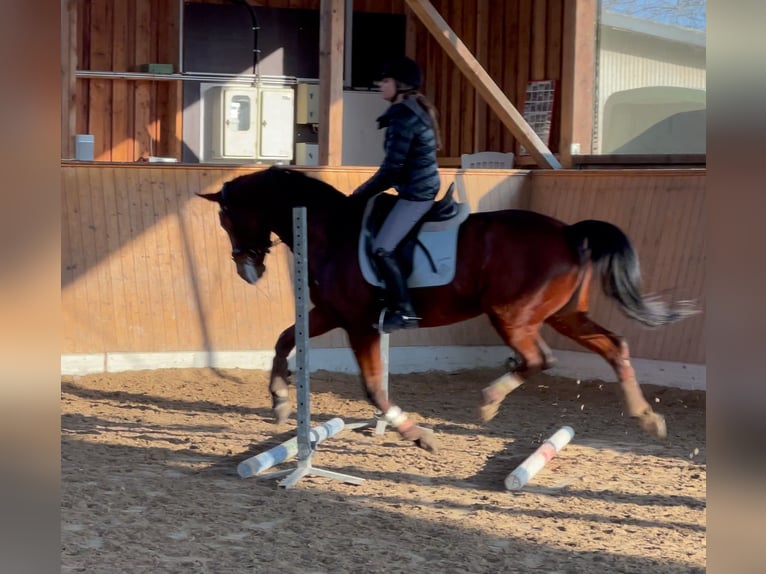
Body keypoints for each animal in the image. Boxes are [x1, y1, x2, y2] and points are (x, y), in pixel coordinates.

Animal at [201, 165, 700, 454]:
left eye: (226, 219)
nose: (247, 270)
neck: (330, 229)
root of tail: (569, 232)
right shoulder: (331, 314)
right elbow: (284, 338)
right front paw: (280, 400)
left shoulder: (360, 324)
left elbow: (373, 388)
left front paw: (417, 433)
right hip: (565, 315)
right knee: (615, 347)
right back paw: (647, 418)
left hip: (511, 315)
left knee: (539, 359)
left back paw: (489, 401)